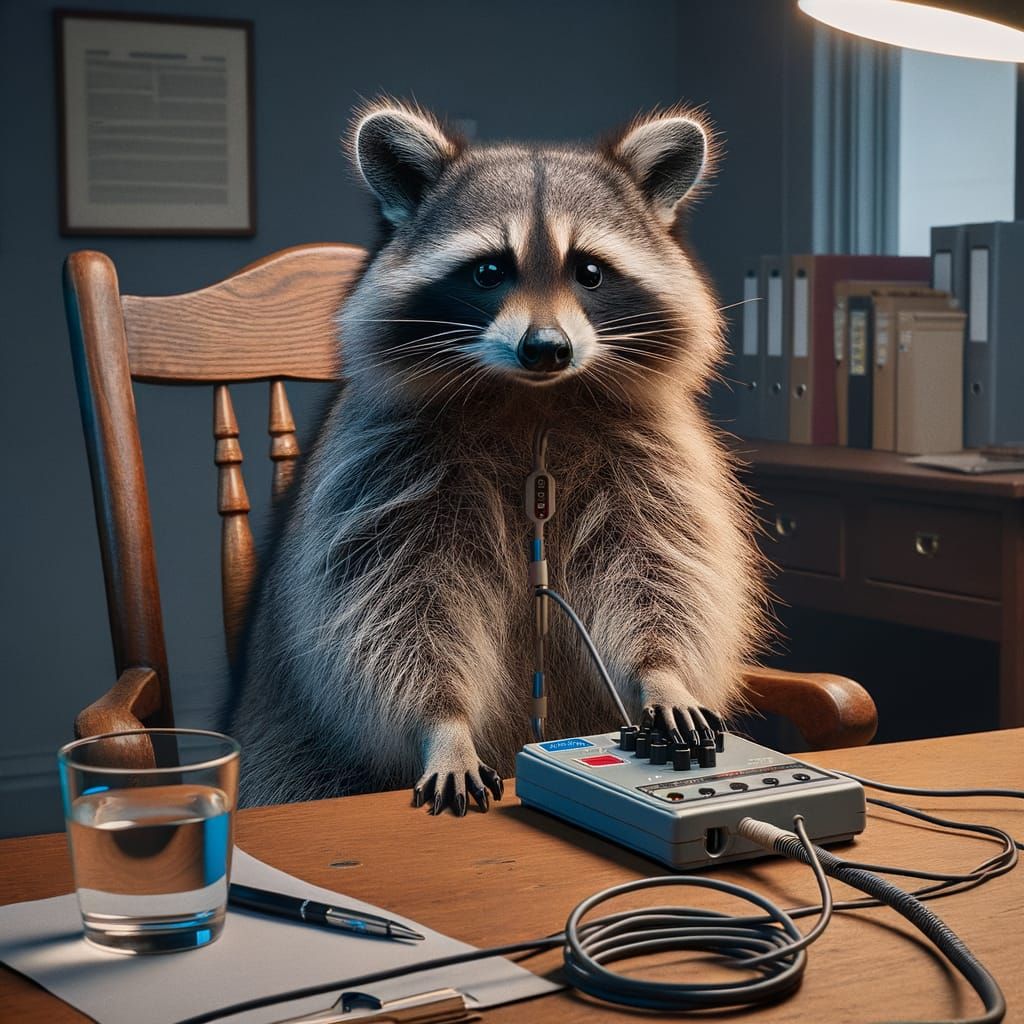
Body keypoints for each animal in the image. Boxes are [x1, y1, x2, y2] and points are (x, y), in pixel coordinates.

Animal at [228, 99, 767, 816]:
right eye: (489, 270)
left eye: (589, 271)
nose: (547, 347)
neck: (532, 401)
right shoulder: (382, 471)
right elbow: (396, 613)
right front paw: (443, 724)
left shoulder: (652, 461)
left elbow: (661, 573)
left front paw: (664, 675)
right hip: (292, 756)